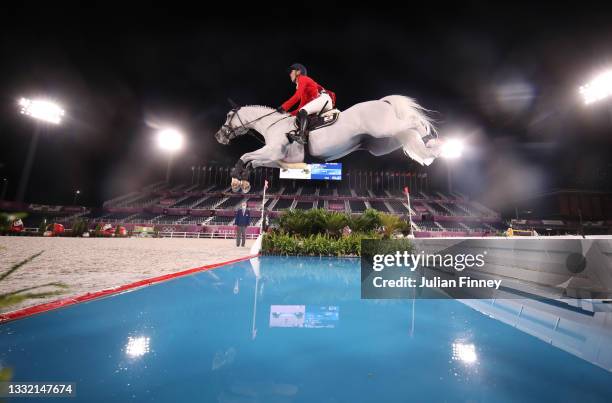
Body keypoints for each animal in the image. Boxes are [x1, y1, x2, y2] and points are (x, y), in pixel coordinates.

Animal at [215, 96, 440, 194]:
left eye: (228, 116)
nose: (218, 136)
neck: (271, 124)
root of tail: (382, 101)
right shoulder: (278, 159)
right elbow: (252, 161)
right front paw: (242, 182)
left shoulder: (272, 151)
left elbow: (246, 156)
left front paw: (236, 178)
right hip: (382, 143)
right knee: (408, 134)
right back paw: (430, 150)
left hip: (383, 129)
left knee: (414, 122)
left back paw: (433, 141)